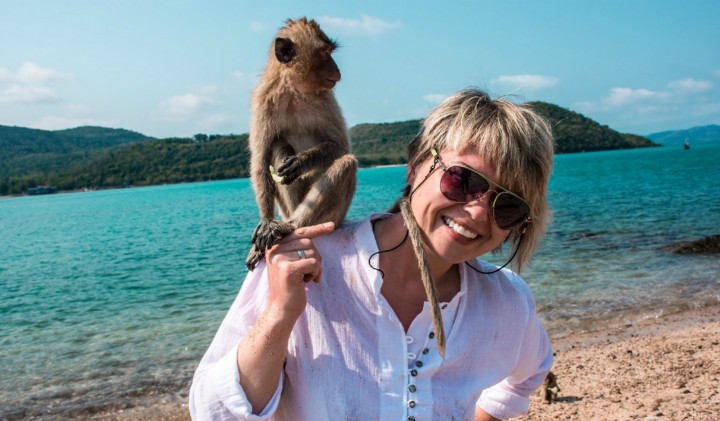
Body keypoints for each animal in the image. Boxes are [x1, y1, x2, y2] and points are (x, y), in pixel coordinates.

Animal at [246, 17, 358, 270]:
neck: (294, 90)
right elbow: (260, 160)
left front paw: (300, 162)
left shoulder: (327, 98)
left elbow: (341, 146)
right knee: (277, 147)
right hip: (288, 208)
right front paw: (266, 221)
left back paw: (292, 226)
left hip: (334, 218)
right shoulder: (263, 101)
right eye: (325, 52)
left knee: (346, 163)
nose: (337, 69)